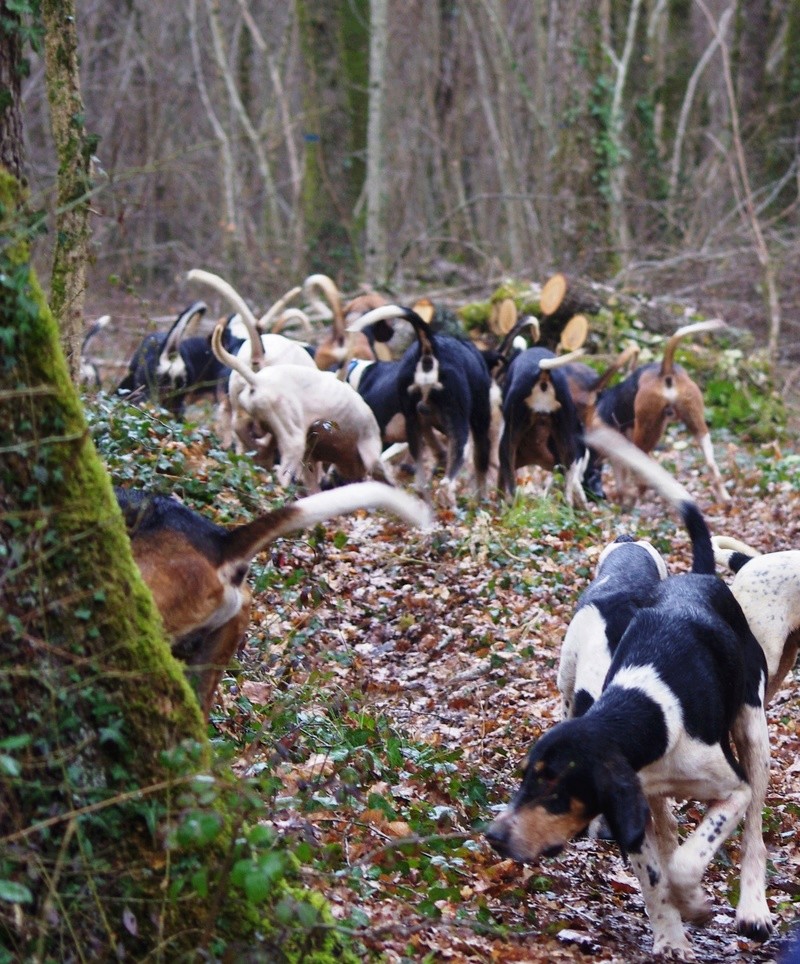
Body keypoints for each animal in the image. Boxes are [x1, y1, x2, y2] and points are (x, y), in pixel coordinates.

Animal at [488, 428, 776, 956]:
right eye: (526, 778)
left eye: (557, 788)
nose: (494, 836)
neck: (643, 712)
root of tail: (699, 576)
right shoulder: (634, 803)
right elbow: (657, 876)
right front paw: (672, 936)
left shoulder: (732, 790)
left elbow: (686, 863)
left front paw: (694, 902)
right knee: (670, 831)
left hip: (753, 734)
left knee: (753, 835)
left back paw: (752, 907)